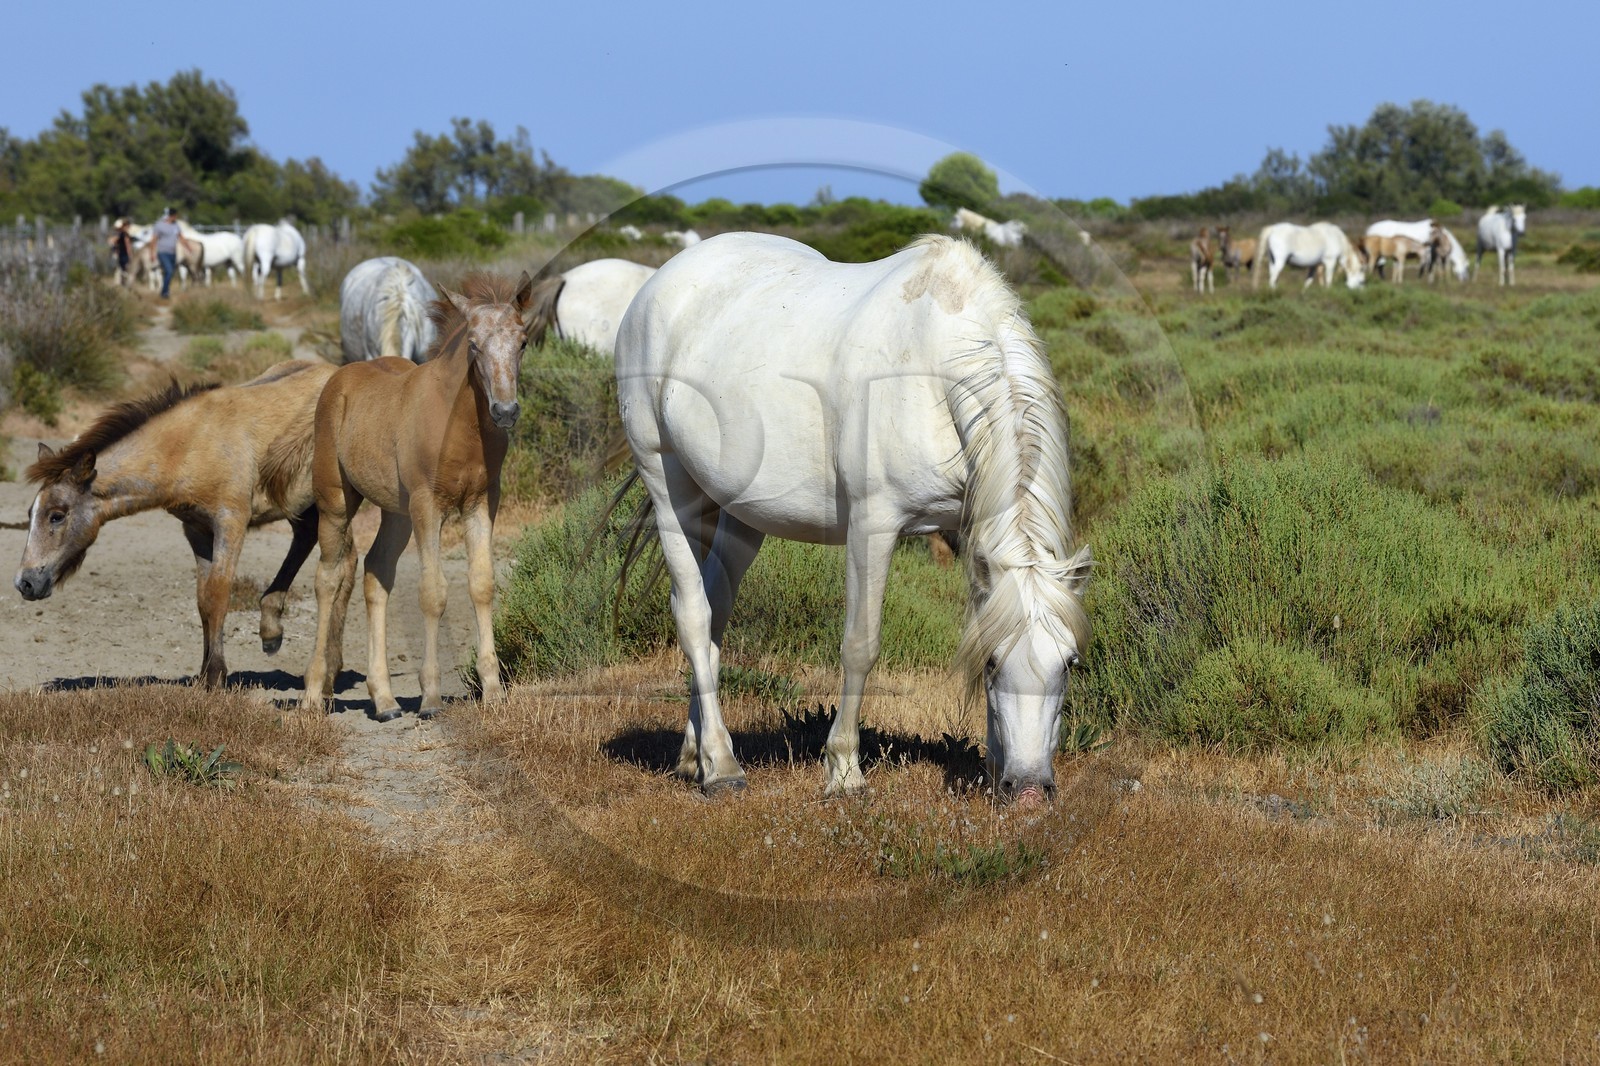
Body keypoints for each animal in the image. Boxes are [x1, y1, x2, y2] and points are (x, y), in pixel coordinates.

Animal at [14, 361, 336, 688]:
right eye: (30, 512)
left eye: (57, 515)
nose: (24, 583)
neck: (192, 445)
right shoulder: (197, 531)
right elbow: (204, 600)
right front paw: (205, 673)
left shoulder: (231, 522)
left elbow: (218, 594)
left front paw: (215, 677)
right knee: (306, 538)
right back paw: (274, 631)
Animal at [301, 272, 536, 721]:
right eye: (474, 343)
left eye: (523, 342)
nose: (505, 411)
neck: (459, 424)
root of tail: (339, 378)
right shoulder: (429, 504)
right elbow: (433, 593)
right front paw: (430, 698)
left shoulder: (482, 503)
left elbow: (481, 584)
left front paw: (493, 690)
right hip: (337, 502)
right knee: (328, 579)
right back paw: (312, 694)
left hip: (397, 514)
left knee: (376, 573)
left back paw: (385, 700)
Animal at [615, 232, 1092, 804]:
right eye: (995, 661)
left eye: (1069, 662)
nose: (1028, 789)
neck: (933, 370)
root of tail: (656, 284)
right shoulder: (874, 525)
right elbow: (860, 645)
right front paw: (843, 769)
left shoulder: (970, 528)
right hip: (669, 487)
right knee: (692, 614)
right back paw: (722, 766)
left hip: (740, 513)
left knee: (715, 613)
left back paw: (695, 755)